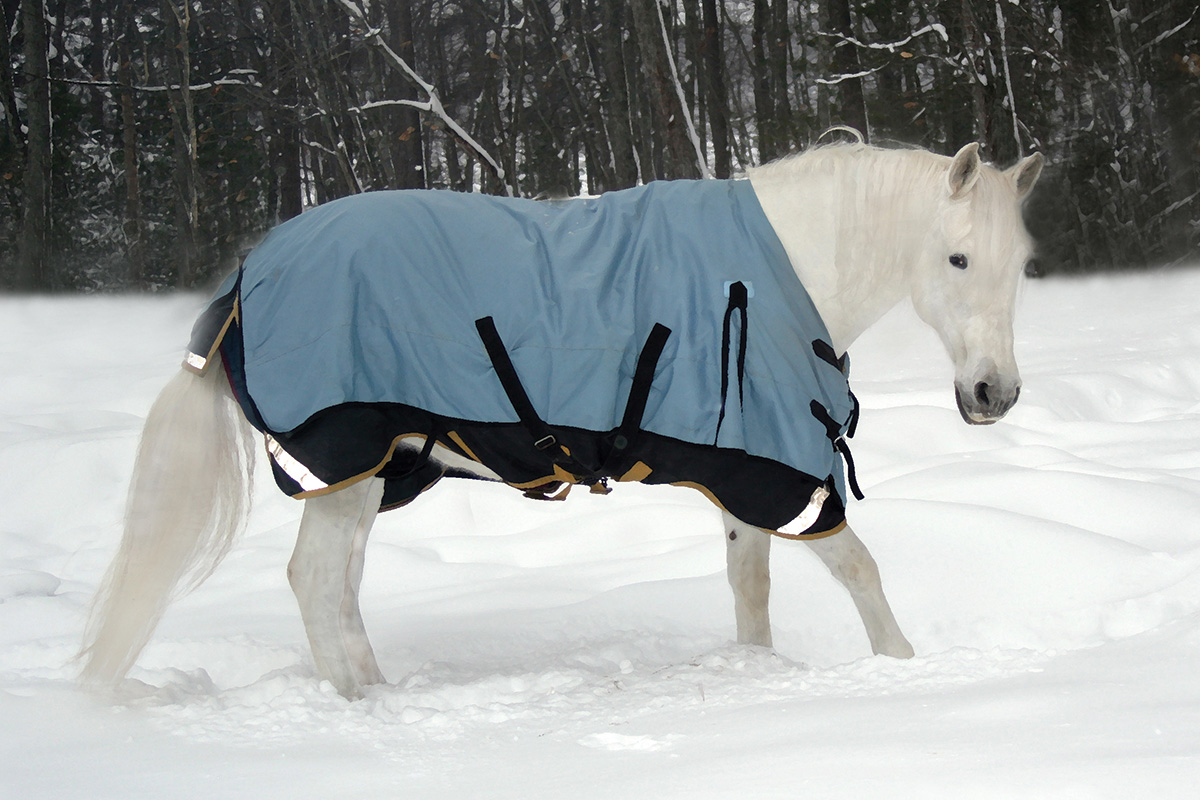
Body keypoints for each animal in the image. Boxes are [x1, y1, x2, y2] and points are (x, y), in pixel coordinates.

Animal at [82, 142, 1041, 700]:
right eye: (958, 258)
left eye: (1021, 263)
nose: (993, 394)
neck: (775, 275)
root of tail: (248, 279)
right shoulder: (776, 476)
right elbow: (860, 570)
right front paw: (904, 667)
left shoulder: (742, 473)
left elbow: (751, 588)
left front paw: (758, 671)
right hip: (343, 464)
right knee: (317, 584)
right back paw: (369, 710)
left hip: (369, 474)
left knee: (338, 588)